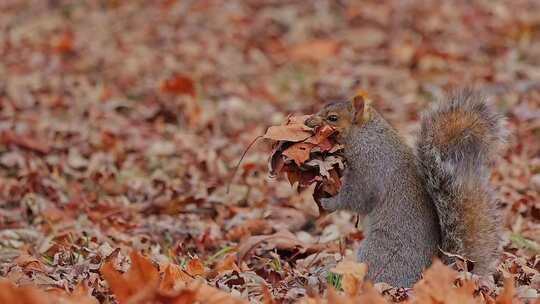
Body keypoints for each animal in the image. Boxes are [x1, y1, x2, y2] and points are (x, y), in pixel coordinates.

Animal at [304, 88, 506, 288]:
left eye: (332, 118)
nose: (307, 121)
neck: (365, 136)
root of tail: (424, 277)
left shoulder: (369, 170)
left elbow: (357, 198)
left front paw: (328, 202)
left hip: (379, 252)